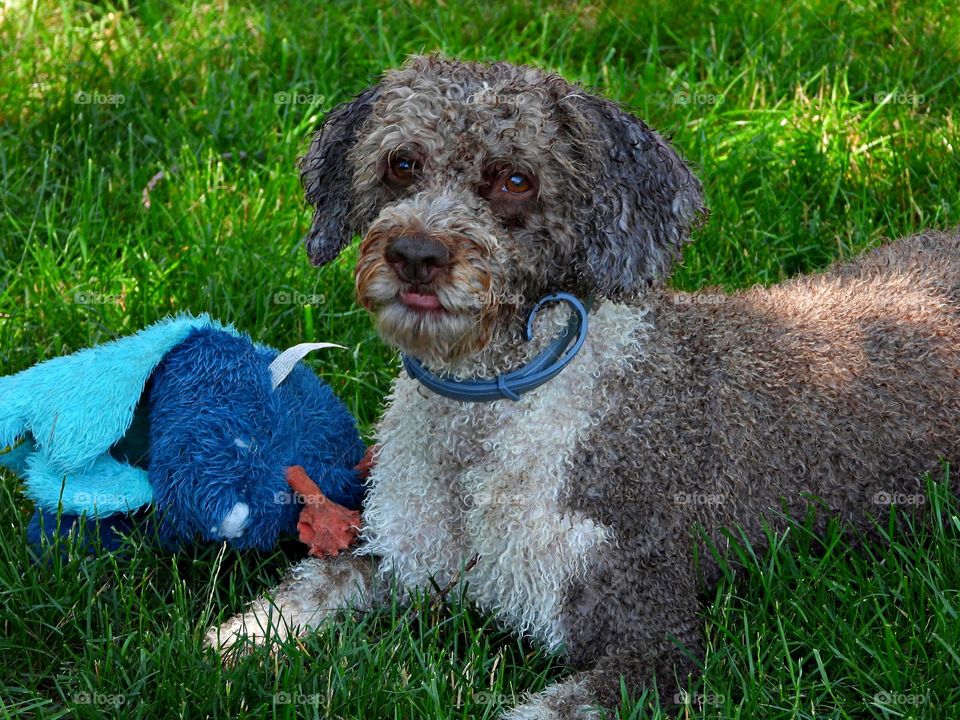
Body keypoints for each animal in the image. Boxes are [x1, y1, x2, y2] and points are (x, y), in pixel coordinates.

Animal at [204, 57, 960, 720]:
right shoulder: (403, 557)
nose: (415, 255)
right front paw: (223, 646)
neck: (490, 412)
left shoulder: (648, 636)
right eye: (402, 162)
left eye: (516, 178)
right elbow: (306, 592)